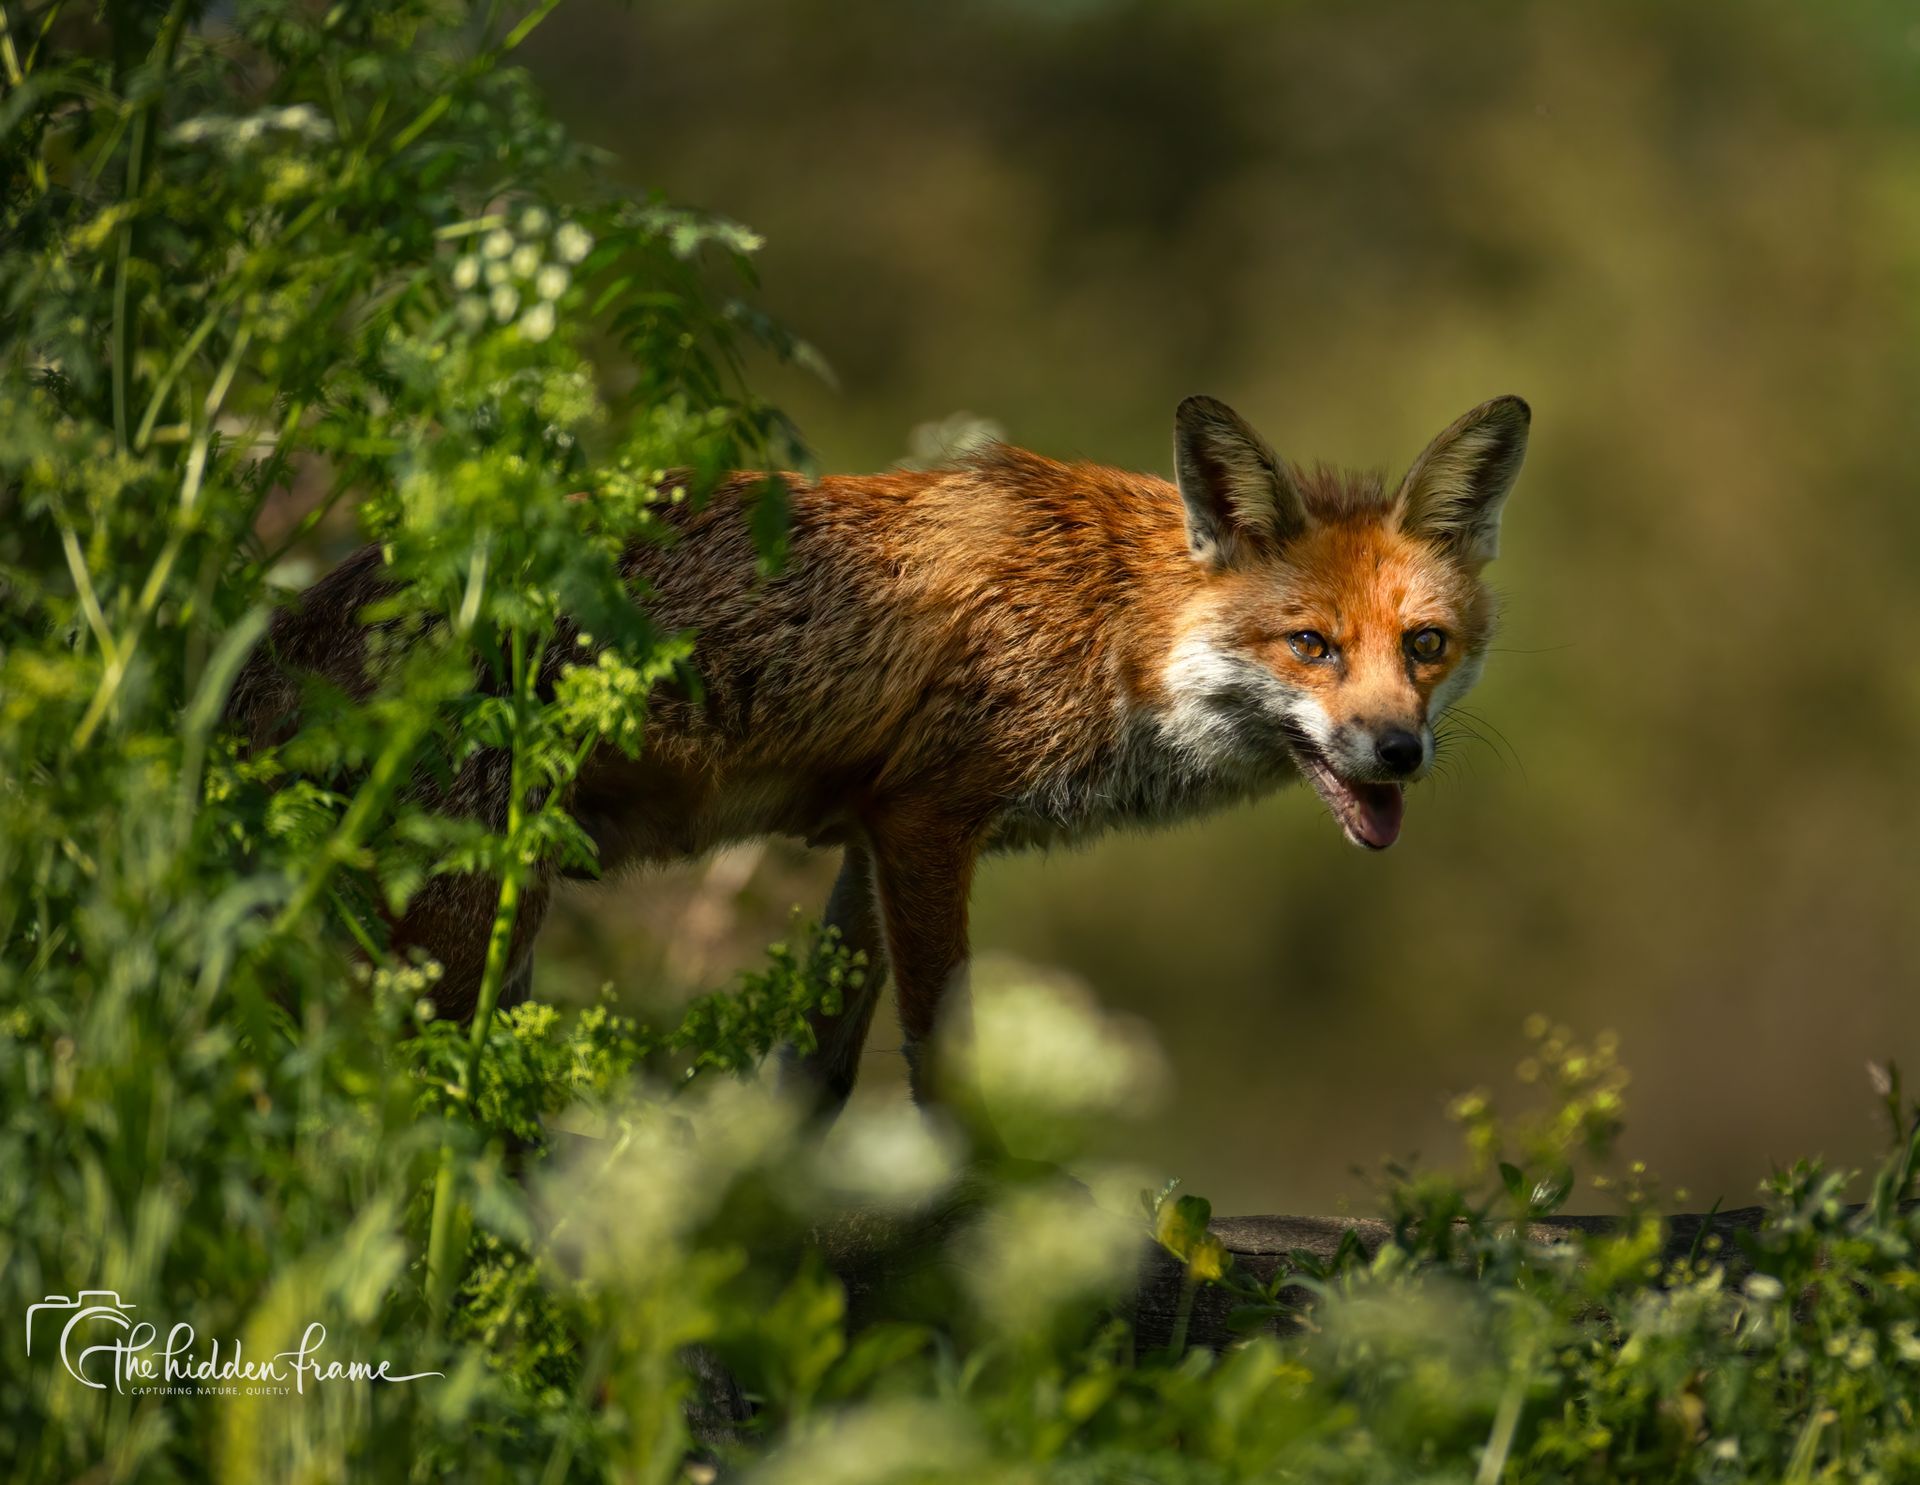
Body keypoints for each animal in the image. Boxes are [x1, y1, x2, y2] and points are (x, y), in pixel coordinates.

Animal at [229, 393, 1530, 1112]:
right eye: (1311, 645)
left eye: (1424, 646)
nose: (1395, 750)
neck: (1118, 625)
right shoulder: (929, 822)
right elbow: (941, 1056)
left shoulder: (869, 834)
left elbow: (819, 1067)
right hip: (468, 918)